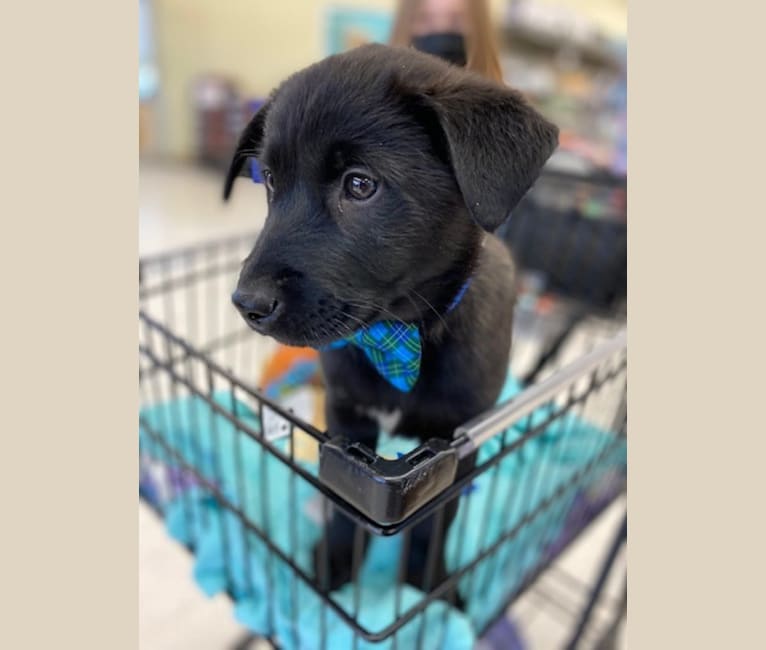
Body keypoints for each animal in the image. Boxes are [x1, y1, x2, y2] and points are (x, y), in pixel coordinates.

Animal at [222, 43, 560, 596]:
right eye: (269, 180)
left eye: (360, 184)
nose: (246, 304)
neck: (401, 335)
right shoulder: (347, 424)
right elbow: (344, 513)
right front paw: (336, 565)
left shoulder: (459, 442)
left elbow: (434, 524)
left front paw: (429, 585)